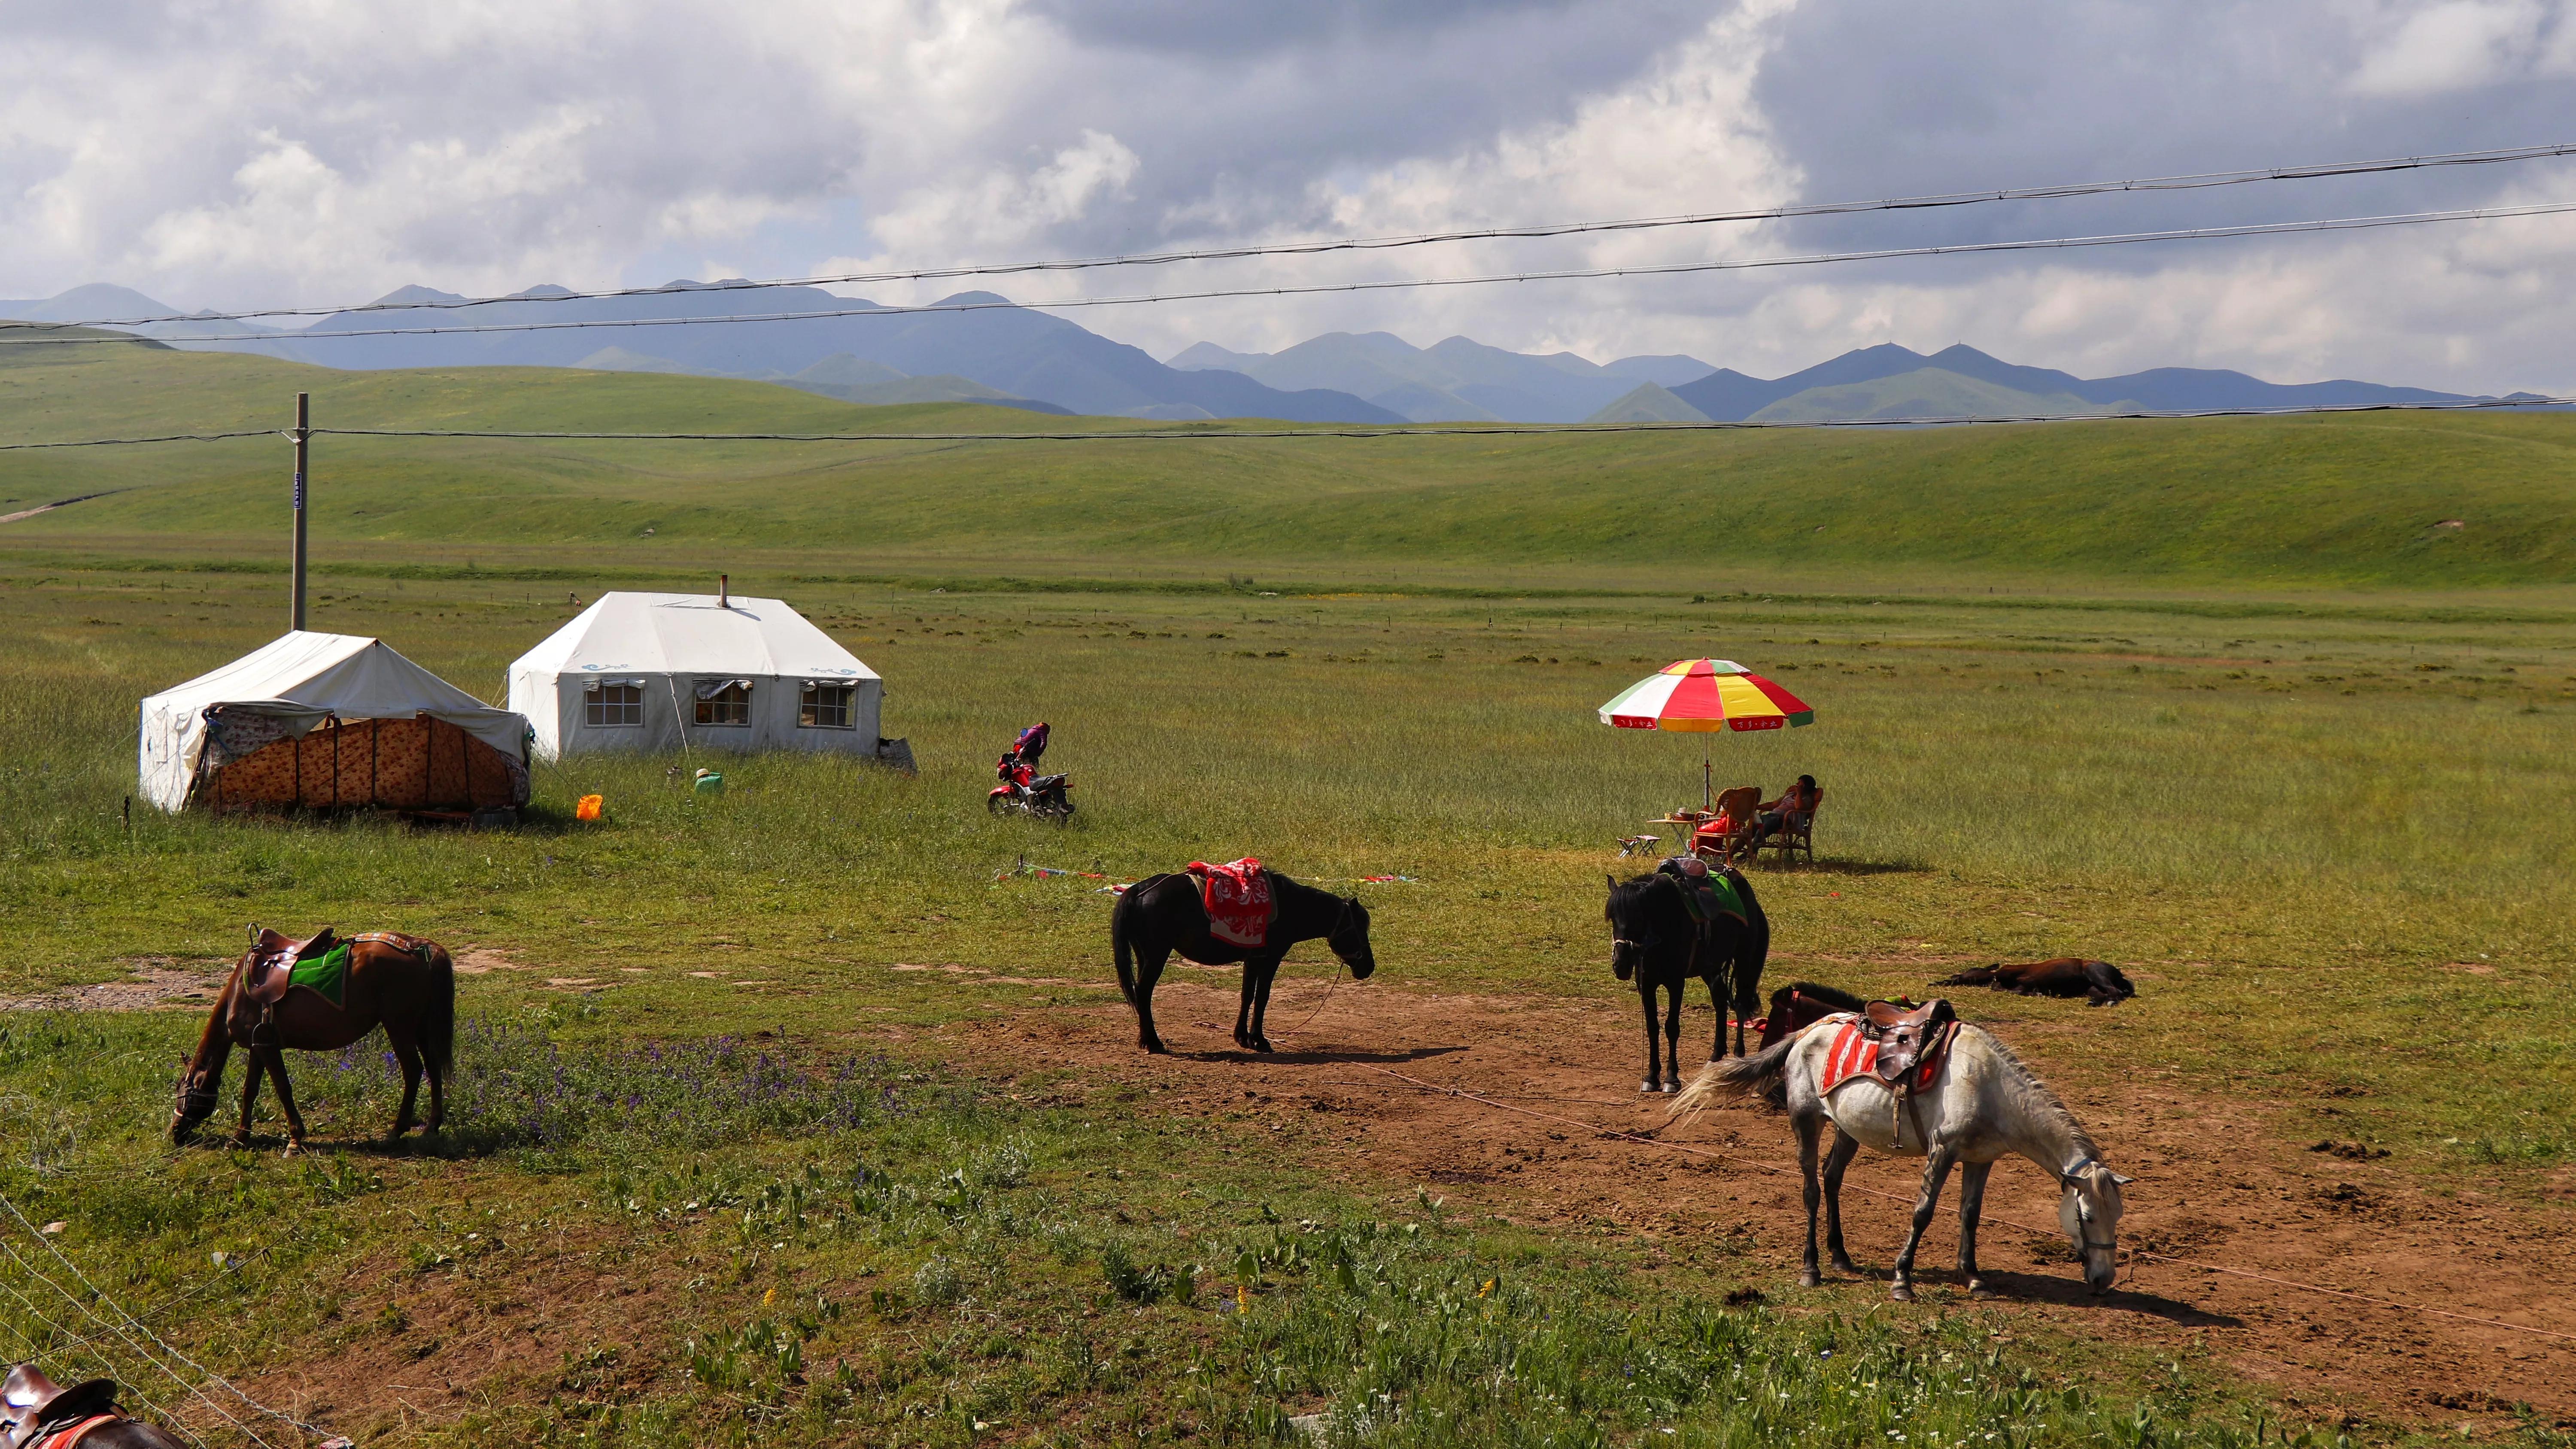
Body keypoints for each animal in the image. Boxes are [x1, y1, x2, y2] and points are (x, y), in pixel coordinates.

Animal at [174, 923, 459, 1150]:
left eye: (182, 1089)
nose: (174, 1132)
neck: (239, 991)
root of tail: (420, 947)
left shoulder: (267, 1048)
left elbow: (283, 1088)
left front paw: (295, 1140)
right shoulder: (259, 1045)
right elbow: (250, 1090)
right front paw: (240, 1138)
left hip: (399, 1026)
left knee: (413, 1070)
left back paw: (397, 1131)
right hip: (420, 1027)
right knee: (433, 1067)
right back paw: (431, 1126)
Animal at [1118, 866, 1381, 1047]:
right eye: (1359, 929)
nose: (1369, 966)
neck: (1289, 906)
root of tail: (1139, 890)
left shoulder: (1252, 961)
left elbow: (1247, 996)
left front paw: (1242, 1037)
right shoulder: (1270, 959)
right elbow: (1262, 997)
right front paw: (1259, 1040)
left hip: (1144, 956)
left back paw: (1146, 1038)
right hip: (1156, 957)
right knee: (1144, 992)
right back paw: (1153, 1042)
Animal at [1669, 1005, 2133, 1299]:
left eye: (2118, 1216)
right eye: (2088, 1216)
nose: (2104, 1279)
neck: (1989, 1086)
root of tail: (1807, 1031)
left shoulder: (1980, 1158)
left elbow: (1971, 1215)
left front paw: (1974, 1278)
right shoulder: (1942, 1150)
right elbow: (1923, 1213)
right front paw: (1902, 1280)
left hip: (1848, 1127)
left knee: (1832, 1177)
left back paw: (1841, 1257)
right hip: (1806, 1119)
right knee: (1811, 1190)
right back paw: (1812, 1268)